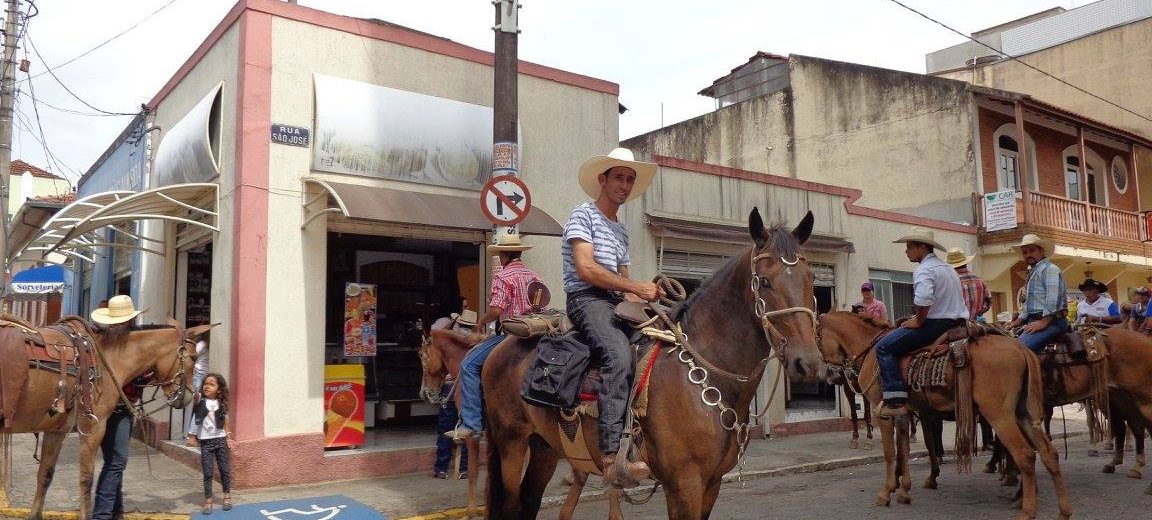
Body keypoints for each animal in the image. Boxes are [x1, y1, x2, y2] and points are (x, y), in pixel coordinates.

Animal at [1, 318, 207, 520]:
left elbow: (45, 474)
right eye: (194, 357)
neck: (106, 360)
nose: (189, 396)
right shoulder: (93, 428)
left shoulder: (56, 430)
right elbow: (86, 479)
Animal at [481, 208, 824, 520]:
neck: (706, 373)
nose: (806, 362)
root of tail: (499, 346)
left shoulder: (711, 484)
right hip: (511, 443)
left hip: (544, 447)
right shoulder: (684, 485)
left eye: (811, 279)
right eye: (763, 281)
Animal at [820, 311, 1069, 518]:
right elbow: (904, 449)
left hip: (1000, 415)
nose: (829, 374)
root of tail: (1021, 348)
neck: (872, 348)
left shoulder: (881, 413)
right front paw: (904, 491)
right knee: (1049, 453)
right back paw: (1063, 511)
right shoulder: (904, 413)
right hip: (1023, 413)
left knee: (1025, 454)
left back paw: (1026, 509)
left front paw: (887, 492)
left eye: (818, 337)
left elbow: (891, 453)